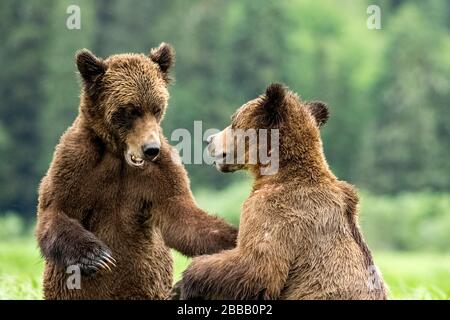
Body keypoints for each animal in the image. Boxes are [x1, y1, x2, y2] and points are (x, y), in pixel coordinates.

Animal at [34, 43, 237, 300]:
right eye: (130, 110)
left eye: (156, 108)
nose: (151, 149)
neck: (119, 156)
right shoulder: (75, 164)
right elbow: (55, 210)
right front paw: (97, 256)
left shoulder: (161, 173)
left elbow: (182, 216)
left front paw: (233, 238)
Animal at [176, 82, 386, 300]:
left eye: (233, 122)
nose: (209, 140)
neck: (278, 172)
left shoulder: (278, 213)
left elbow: (257, 267)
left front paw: (185, 281)